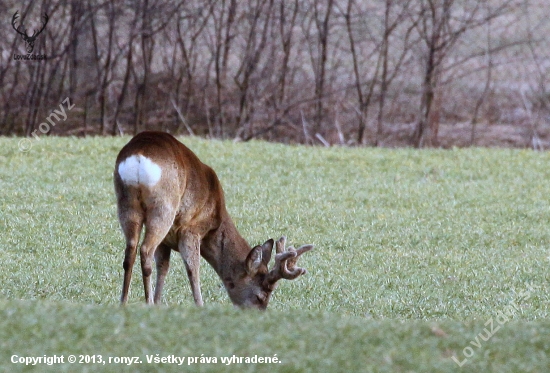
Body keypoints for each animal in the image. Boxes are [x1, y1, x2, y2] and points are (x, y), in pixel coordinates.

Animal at [114, 131, 312, 308]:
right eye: (261, 295)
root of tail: (139, 157)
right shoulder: (192, 228)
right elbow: (193, 269)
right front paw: (199, 305)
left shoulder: (168, 241)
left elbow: (163, 266)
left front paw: (157, 303)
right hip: (163, 208)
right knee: (145, 250)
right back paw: (145, 302)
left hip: (126, 204)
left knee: (130, 251)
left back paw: (123, 302)